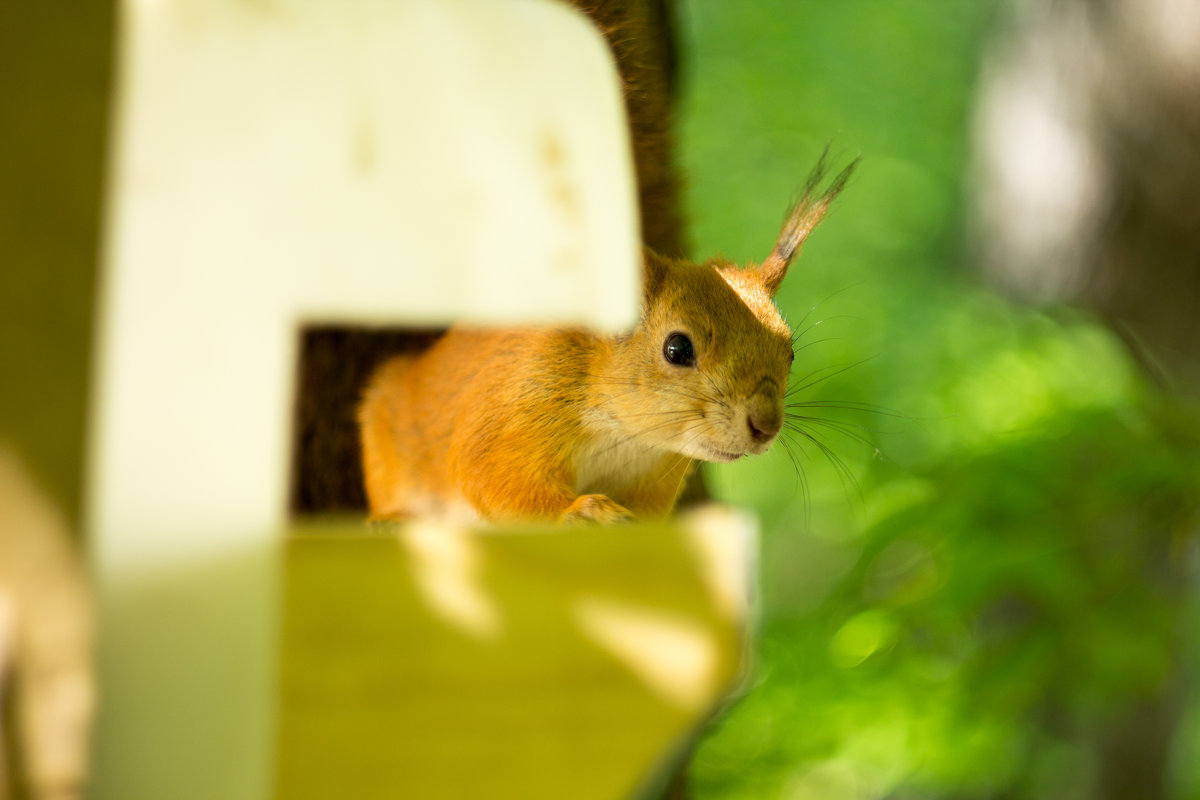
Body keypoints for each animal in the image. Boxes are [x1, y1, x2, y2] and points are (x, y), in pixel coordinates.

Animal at [355, 154, 854, 525]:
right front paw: (581, 512)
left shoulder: (654, 478)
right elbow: (491, 477)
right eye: (677, 349)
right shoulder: (513, 412)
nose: (765, 425)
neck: (627, 436)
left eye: (790, 351)